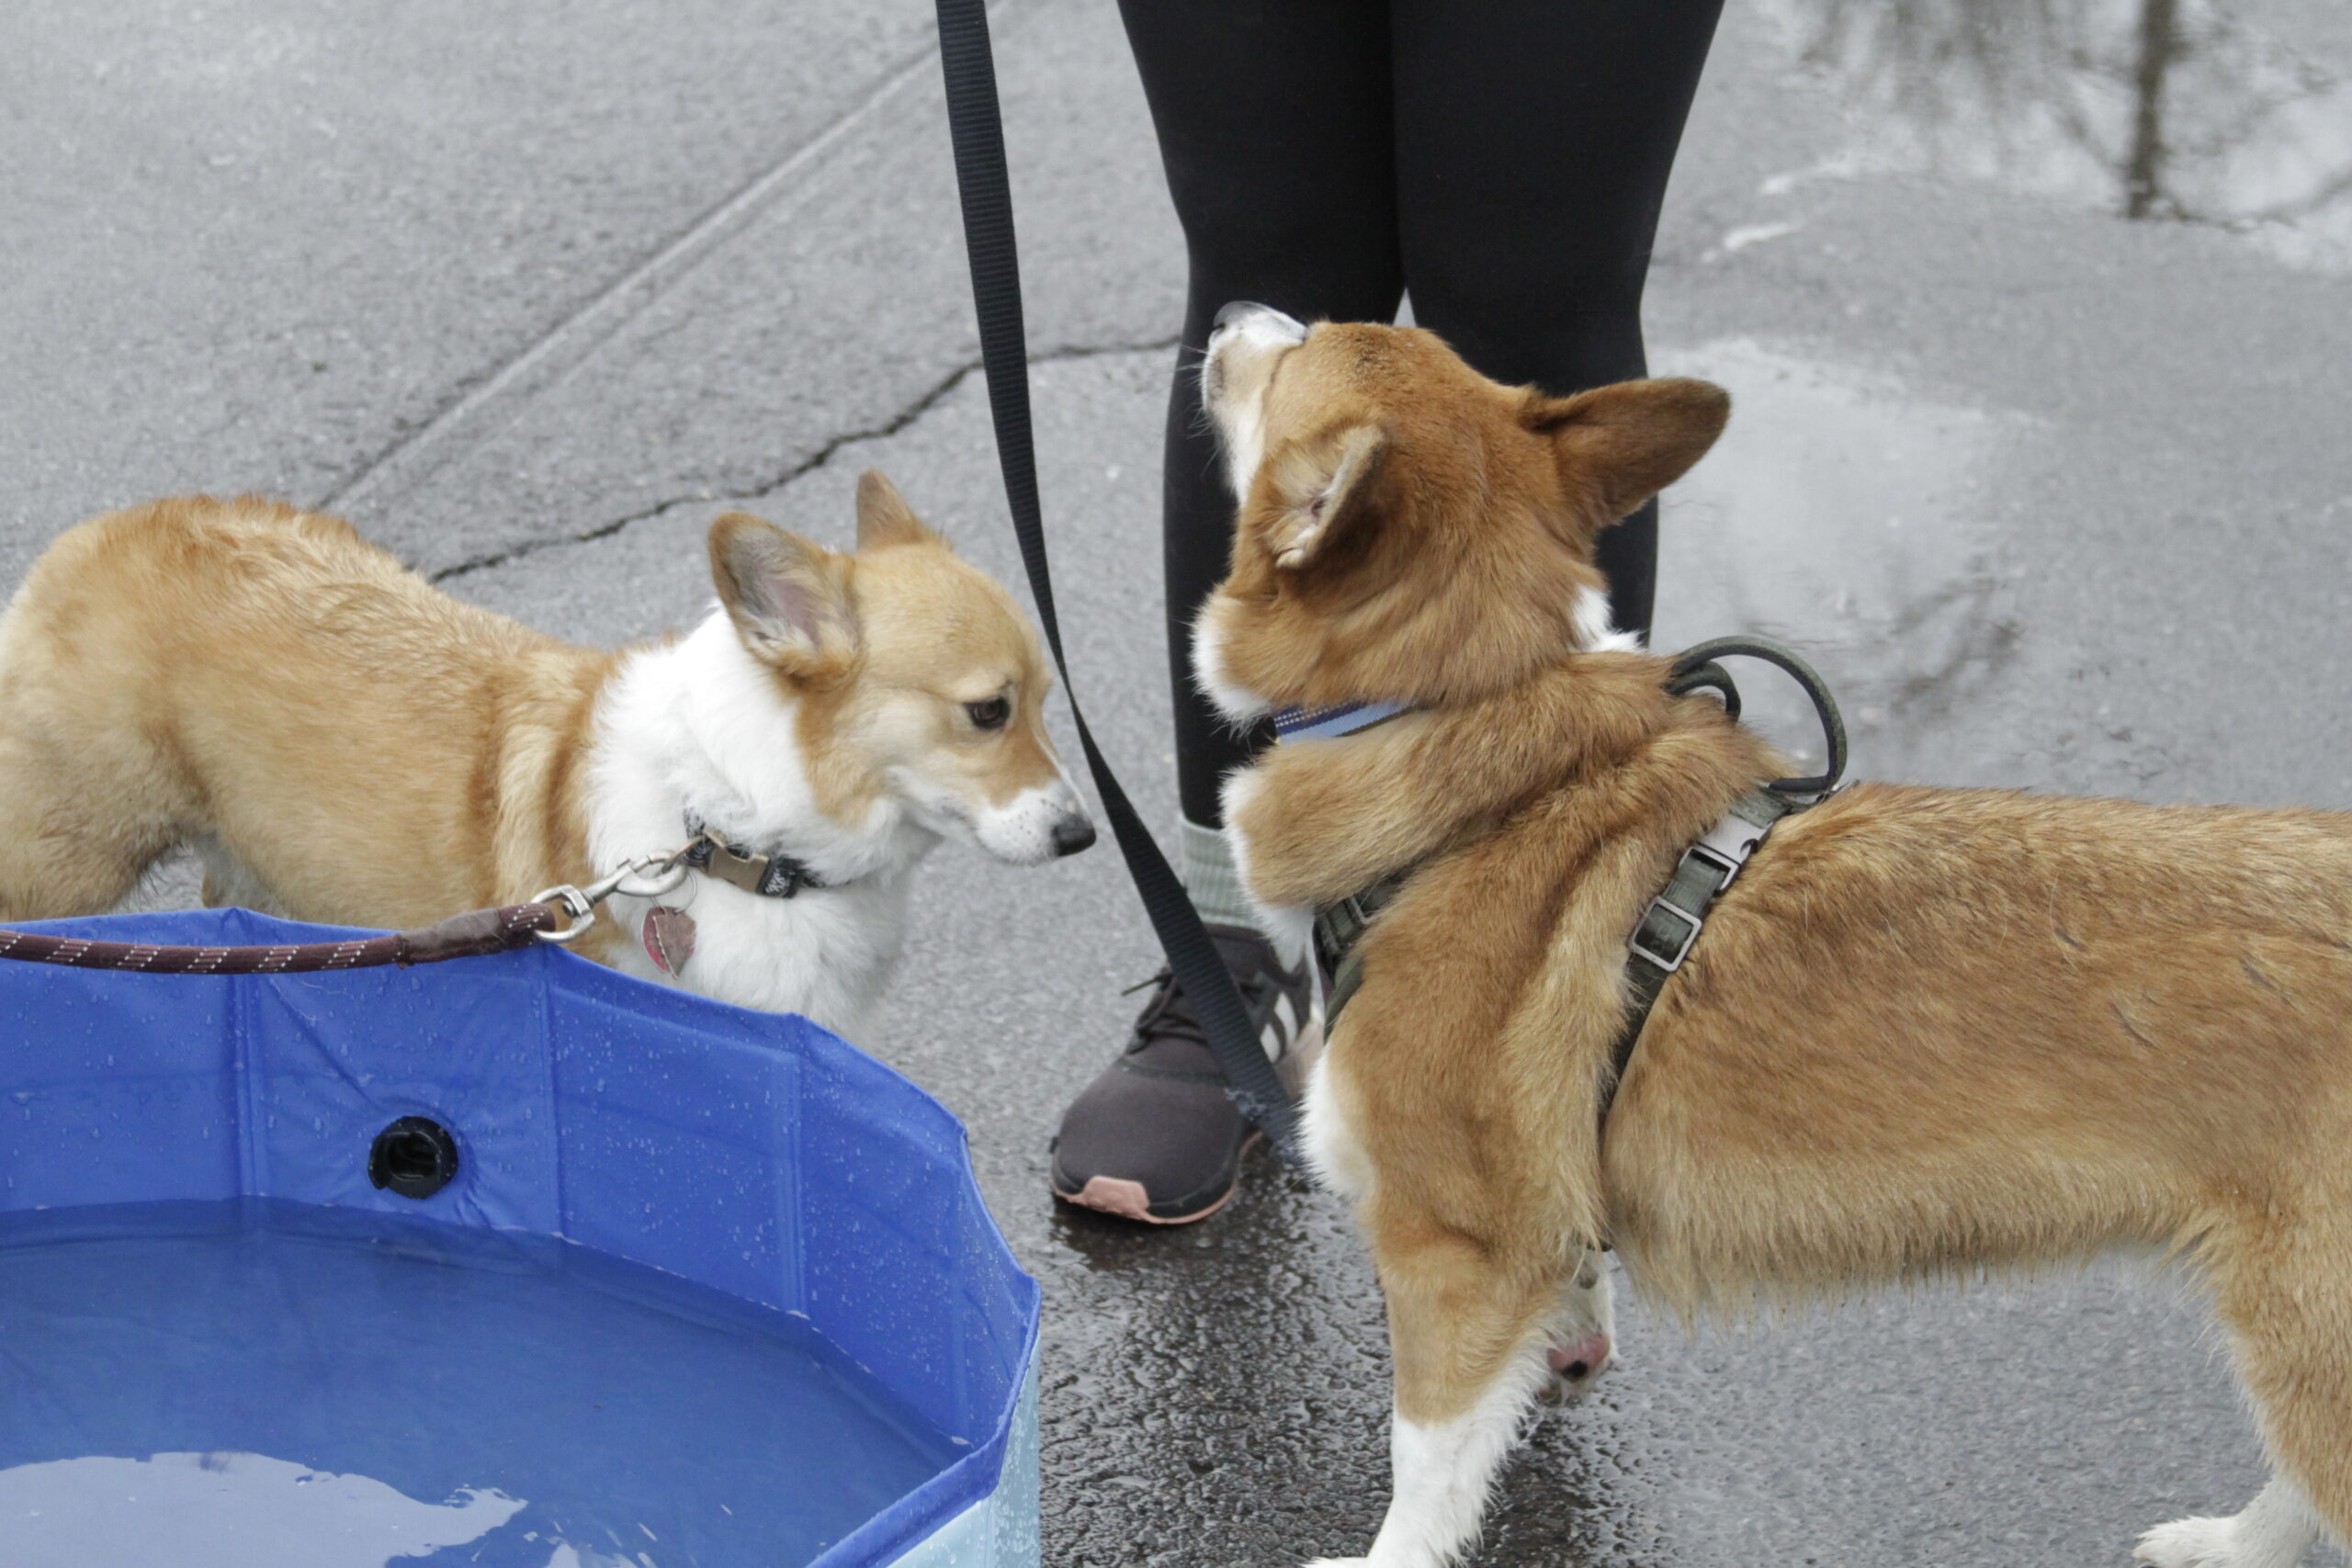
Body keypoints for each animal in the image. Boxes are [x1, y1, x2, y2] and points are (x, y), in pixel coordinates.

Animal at [0, 470, 1093, 1034]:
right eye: (987, 712)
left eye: (1047, 702)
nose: (1082, 835)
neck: (727, 836)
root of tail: (97, 533)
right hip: (68, 857)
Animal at [1196, 302, 2352, 1568]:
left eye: (1295, 358)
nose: (1231, 314)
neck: (1468, 706)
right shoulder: (1532, 1238)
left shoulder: (1451, 1254)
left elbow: (1423, 1470)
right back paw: (2226, 1544)